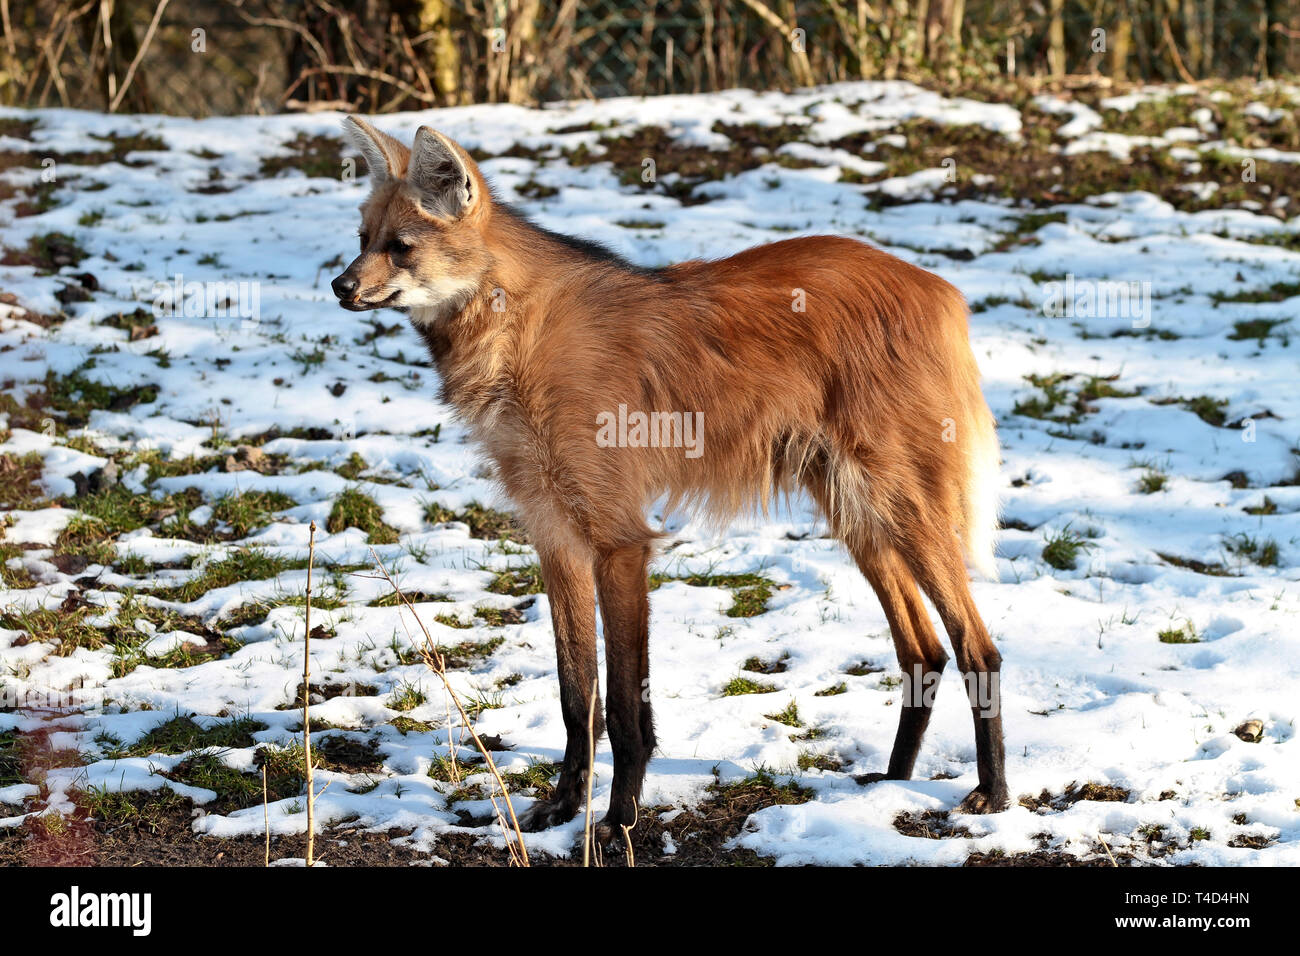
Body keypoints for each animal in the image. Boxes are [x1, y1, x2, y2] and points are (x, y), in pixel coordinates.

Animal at [332, 115, 1003, 842]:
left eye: (401, 248)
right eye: (362, 239)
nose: (340, 286)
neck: (518, 336)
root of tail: (941, 289)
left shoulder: (620, 540)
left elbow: (626, 707)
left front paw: (618, 820)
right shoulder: (555, 535)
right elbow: (576, 696)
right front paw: (562, 810)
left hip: (898, 503)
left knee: (977, 646)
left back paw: (992, 794)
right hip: (854, 509)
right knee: (923, 650)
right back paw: (891, 782)